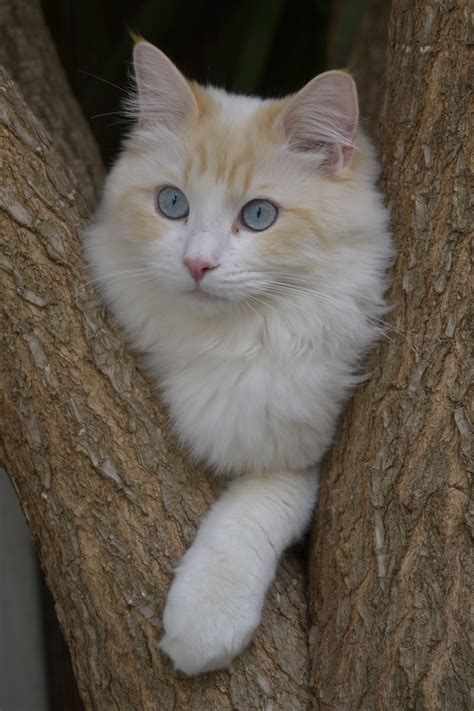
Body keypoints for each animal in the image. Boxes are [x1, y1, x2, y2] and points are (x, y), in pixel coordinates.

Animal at [85, 40, 392, 680]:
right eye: (172, 204)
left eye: (258, 216)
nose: (197, 265)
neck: (233, 338)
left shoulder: (301, 454)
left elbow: (249, 513)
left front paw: (204, 625)